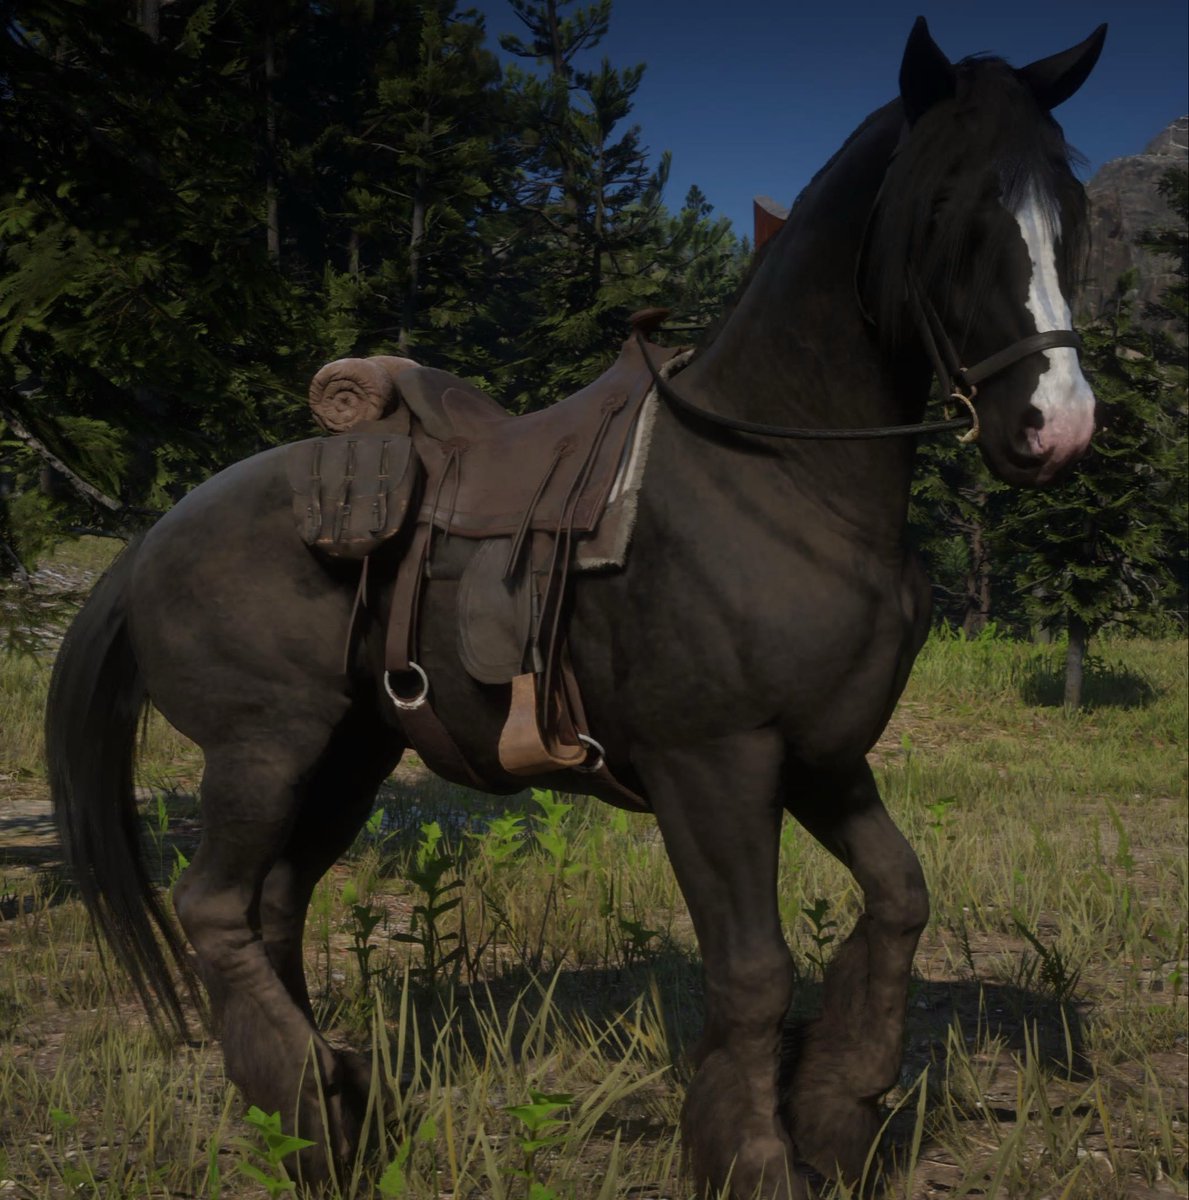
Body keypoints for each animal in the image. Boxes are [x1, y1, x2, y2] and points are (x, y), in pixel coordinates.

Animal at [46, 18, 1105, 1198]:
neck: (780, 475)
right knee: (214, 909)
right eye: (948, 211)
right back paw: (312, 1099)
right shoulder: (714, 762)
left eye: (1070, 208)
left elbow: (900, 899)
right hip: (261, 747)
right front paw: (749, 1156)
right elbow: (752, 968)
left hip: (346, 753)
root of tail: (156, 536)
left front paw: (837, 1111)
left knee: (273, 908)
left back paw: (326, 1126)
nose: (1055, 427)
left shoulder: (822, 757)